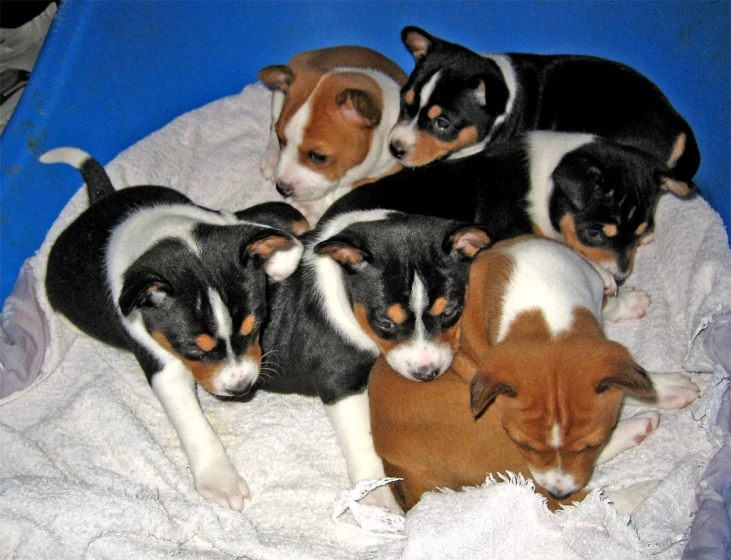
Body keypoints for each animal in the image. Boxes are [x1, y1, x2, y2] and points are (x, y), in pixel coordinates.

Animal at [43, 148, 306, 512]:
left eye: (256, 327)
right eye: (194, 350)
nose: (241, 388)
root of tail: (98, 200)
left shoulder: (235, 221)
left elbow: (291, 232)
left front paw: (277, 263)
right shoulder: (163, 366)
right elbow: (192, 423)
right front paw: (220, 480)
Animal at [258, 46, 408, 224]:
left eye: (318, 157)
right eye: (282, 140)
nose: (281, 188)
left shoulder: (389, 168)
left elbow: (342, 188)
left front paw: (309, 206)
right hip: (278, 96)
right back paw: (271, 158)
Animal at [258, 209, 492, 512]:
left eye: (450, 311)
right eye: (385, 323)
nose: (426, 373)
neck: (342, 288)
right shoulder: (340, 380)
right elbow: (361, 438)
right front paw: (375, 494)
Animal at [372, 236, 704, 512]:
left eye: (590, 445)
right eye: (527, 445)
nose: (559, 490)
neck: (548, 314)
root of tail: (397, 467)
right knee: (577, 502)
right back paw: (641, 473)